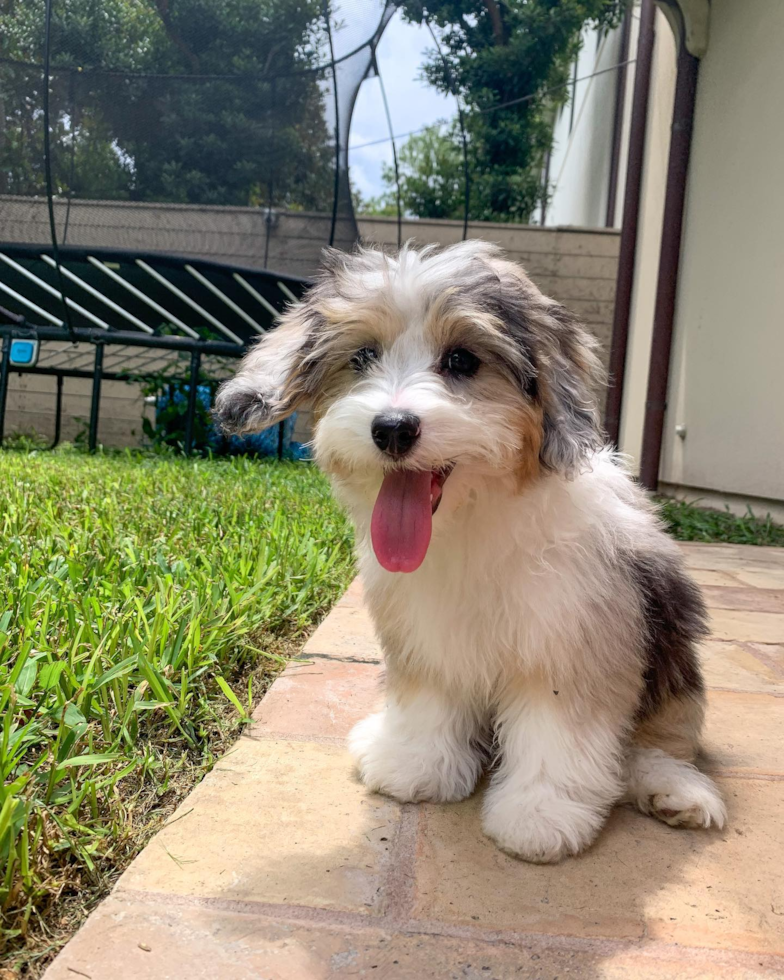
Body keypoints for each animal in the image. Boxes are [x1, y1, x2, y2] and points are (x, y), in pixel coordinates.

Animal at [213, 243, 724, 864]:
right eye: (363, 356)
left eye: (461, 360)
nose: (393, 428)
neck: (470, 518)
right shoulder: (425, 636)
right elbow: (429, 701)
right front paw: (413, 766)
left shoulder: (575, 640)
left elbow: (559, 732)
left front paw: (540, 814)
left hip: (676, 667)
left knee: (664, 741)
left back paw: (673, 789)